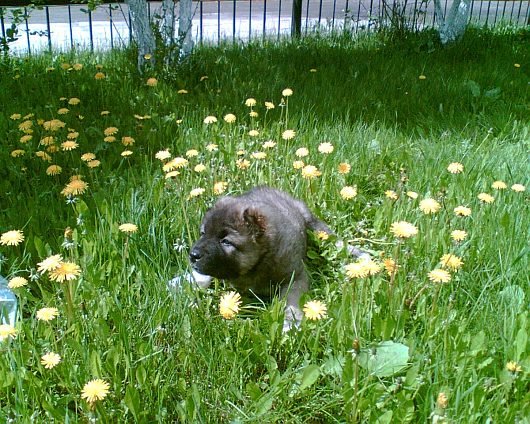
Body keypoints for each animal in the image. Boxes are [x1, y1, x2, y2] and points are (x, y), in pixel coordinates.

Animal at [188, 187, 352, 330]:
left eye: (226, 241)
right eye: (203, 233)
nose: (193, 255)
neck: (259, 262)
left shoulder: (296, 276)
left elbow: (292, 300)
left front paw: (290, 322)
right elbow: (202, 279)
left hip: (311, 222)